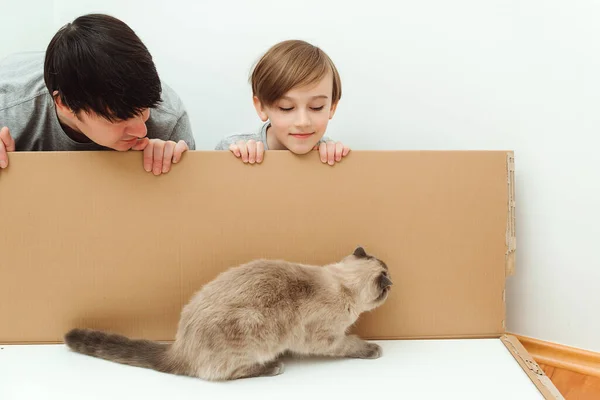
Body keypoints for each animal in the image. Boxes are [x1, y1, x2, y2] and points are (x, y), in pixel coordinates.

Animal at [65, 247, 392, 382]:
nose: (395, 281)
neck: (340, 283)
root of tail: (178, 346)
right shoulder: (327, 338)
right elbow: (351, 343)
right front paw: (373, 349)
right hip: (253, 330)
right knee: (224, 374)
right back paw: (273, 367)